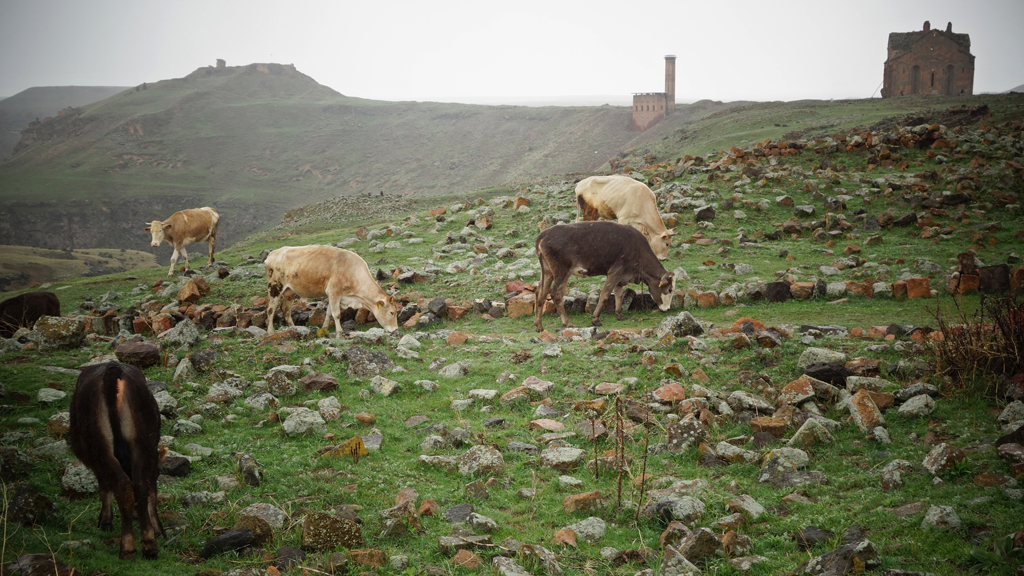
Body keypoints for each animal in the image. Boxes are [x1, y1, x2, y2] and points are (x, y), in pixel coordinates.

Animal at [70, 362, 163, 557]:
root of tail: (112, 371)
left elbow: (105, 487)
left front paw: (104, 522)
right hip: (142, 442)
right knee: (141, 486)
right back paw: (149, 544)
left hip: (100, 444)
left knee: (122, 485)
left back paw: (127, 548)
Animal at [264, 243, 399, 334]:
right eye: (391, 312)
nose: (395, 329)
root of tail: (273, 253)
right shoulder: (334, 292)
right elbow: (336, 314)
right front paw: (339, 331)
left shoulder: (333, 295)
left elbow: (329, 313)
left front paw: (324, 328)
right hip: (275, 287)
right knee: (270, 309)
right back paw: (270, 331)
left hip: (289, 291)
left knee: (286, 309)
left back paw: (294, 328)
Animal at [532, 220, 675, 332]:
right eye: (669, 289)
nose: (667, 309)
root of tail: (544, 234)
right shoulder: (615, 272)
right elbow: (605, 295)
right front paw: (595, 319)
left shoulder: (622, 276)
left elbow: (619, 294)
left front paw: (620, 315)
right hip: (562, 272)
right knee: (556, 294)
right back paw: (566, 323)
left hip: (547, 271)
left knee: (540, 293)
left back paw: (539, 325)